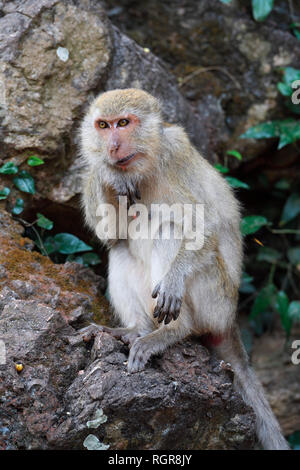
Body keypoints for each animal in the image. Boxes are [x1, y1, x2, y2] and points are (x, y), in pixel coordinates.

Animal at [79, 86, 288, 450]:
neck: (145, 164)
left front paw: (175, 279)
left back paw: (174, 330)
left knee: (170, 228)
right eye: (103, 126)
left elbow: (203, 227)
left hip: (215, 301)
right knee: (120, 249)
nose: (112, 146)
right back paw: (134, 329)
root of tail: (230, 322)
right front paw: (105, 172)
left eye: (124, 123)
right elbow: (111, 233)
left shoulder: (174, 158)